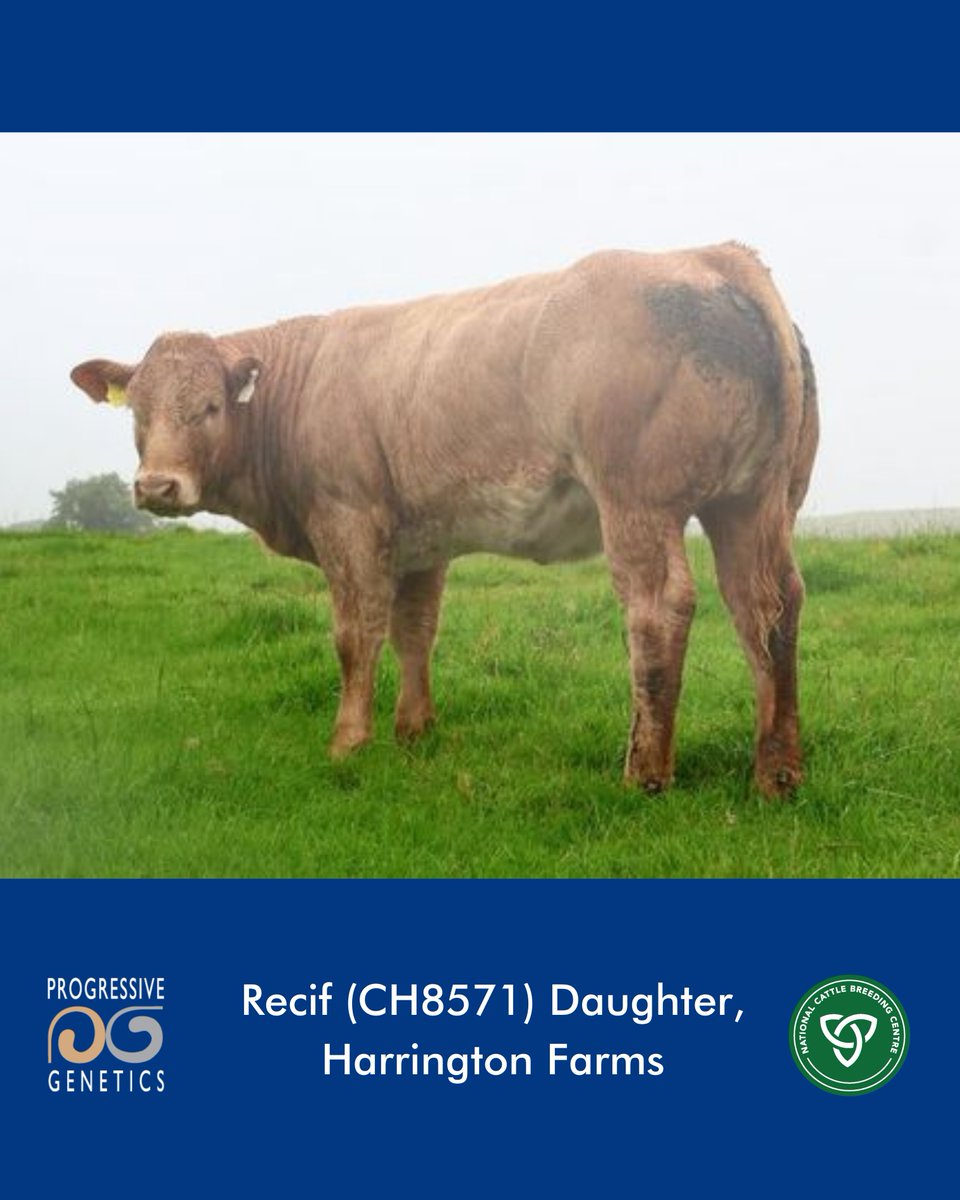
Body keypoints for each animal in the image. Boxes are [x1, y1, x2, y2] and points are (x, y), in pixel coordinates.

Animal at [71, 244, 818, 797]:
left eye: (210, 408)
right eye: (139, 412)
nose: (157, 486)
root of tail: (716, 257)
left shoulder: (348, 521)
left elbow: (356, 636)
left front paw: (349, 742)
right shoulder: (419, 541)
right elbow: (415, 632)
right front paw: (414, 730)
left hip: (639, 500)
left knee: (659, 608)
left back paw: (645, 773)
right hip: (755, 501)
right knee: (766, 606)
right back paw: (776, 774)